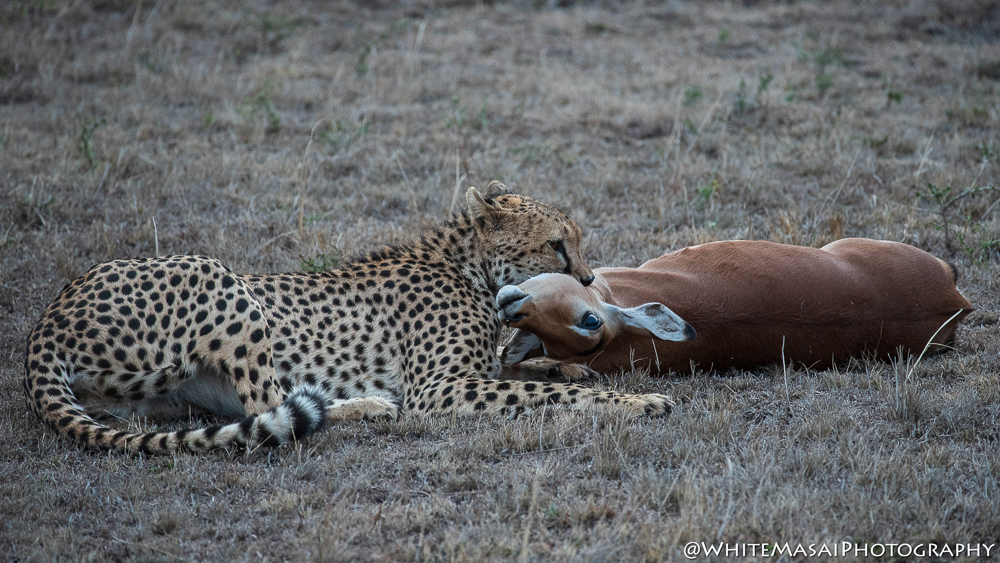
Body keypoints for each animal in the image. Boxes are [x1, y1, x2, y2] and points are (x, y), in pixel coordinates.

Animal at [23, 182, 673, 455]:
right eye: (557, 246)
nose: (586, 280)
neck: (469, 265)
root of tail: (49, 317)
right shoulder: (440, 387)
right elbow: (545, 396)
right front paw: (638, 402)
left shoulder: (471, 371)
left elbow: (526, 373)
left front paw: (568, 369)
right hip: (214, 275)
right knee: (271, 409)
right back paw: (368, 407)